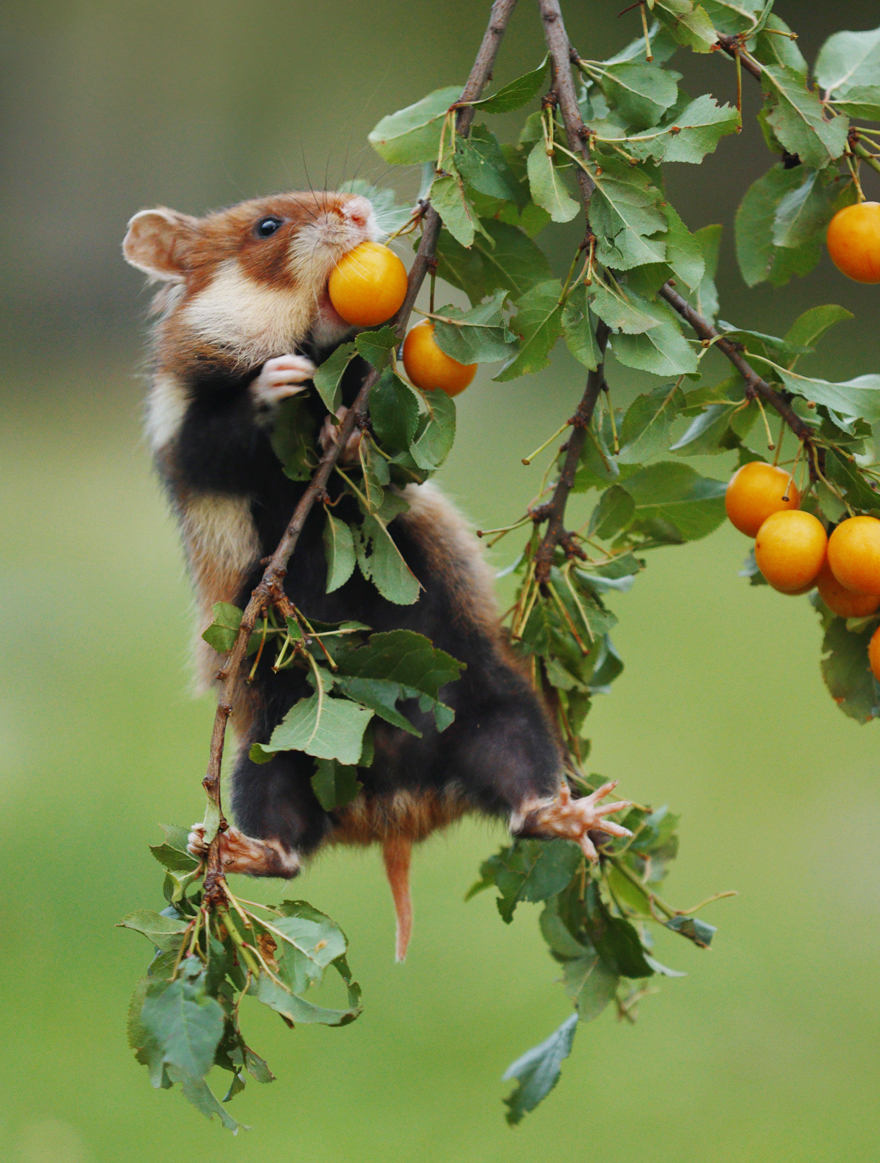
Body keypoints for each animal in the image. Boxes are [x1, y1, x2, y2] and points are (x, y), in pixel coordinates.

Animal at [123, 188, 631, 959]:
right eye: (266, 227)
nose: (360, 209)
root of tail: (397, 814)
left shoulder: (386, 425)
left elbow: (380, 446)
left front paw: (343, 430)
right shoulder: (189, 441)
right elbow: (229, 433)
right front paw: (279, 384)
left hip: (502, 707)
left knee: (526, 799)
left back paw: (585, 815)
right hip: (268, 747)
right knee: (286, 849)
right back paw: (226, 847)